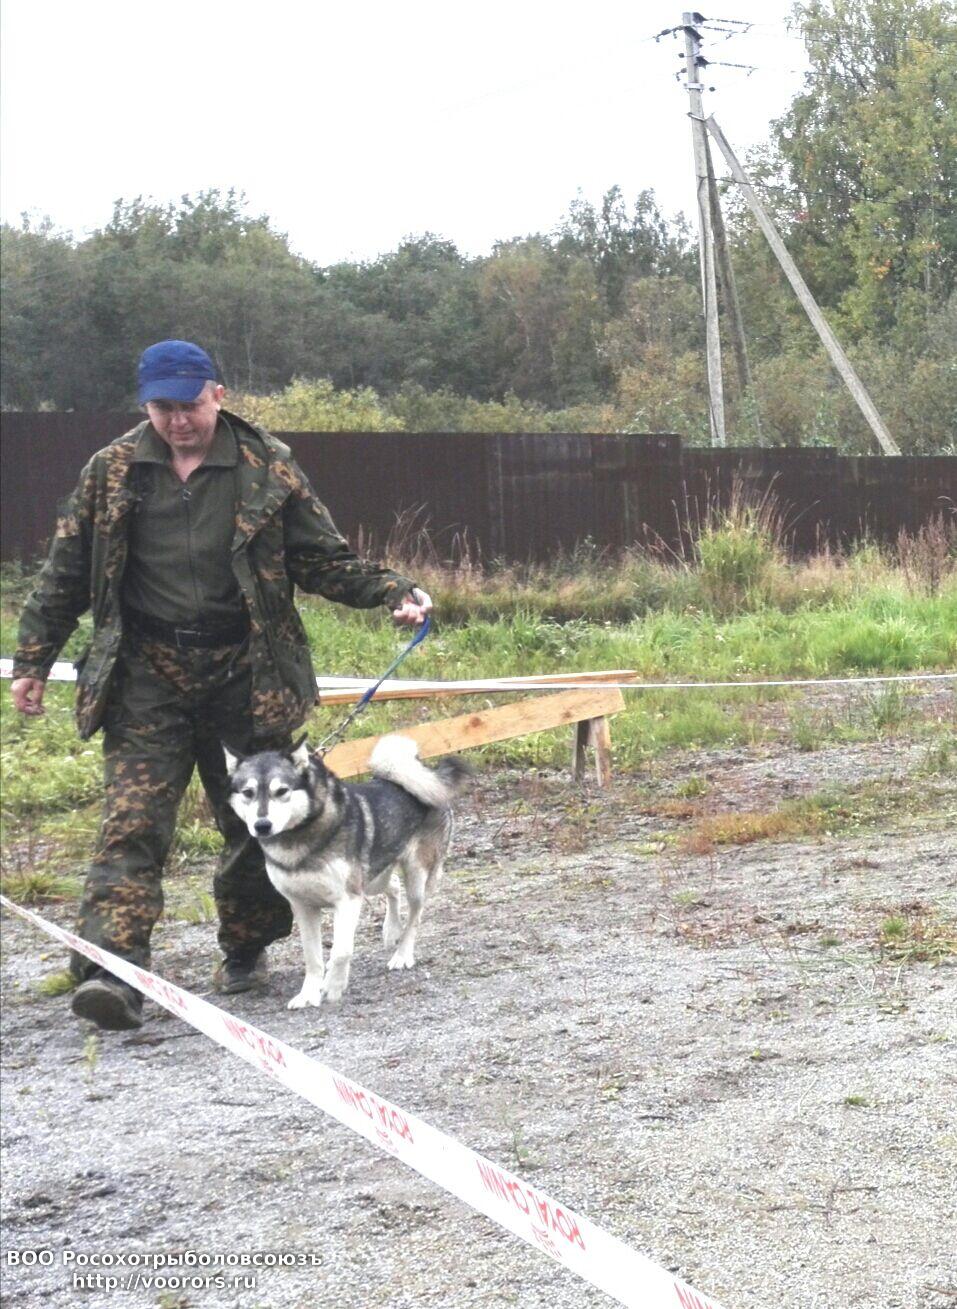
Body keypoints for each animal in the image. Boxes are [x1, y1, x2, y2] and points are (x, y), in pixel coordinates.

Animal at [224, 735, 471, 1009]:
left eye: (281, 791)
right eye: (248, 793)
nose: (262, 825)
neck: (299, 838)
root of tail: (425, 774)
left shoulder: (348, 899)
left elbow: (342, 950)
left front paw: (333, 986)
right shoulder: (303, 906)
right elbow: (312, 957)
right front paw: (308, 994)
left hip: (415, 877)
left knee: (415, 916)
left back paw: (402, 954)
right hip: (373, 879)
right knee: (393, 886)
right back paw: (391, 929)